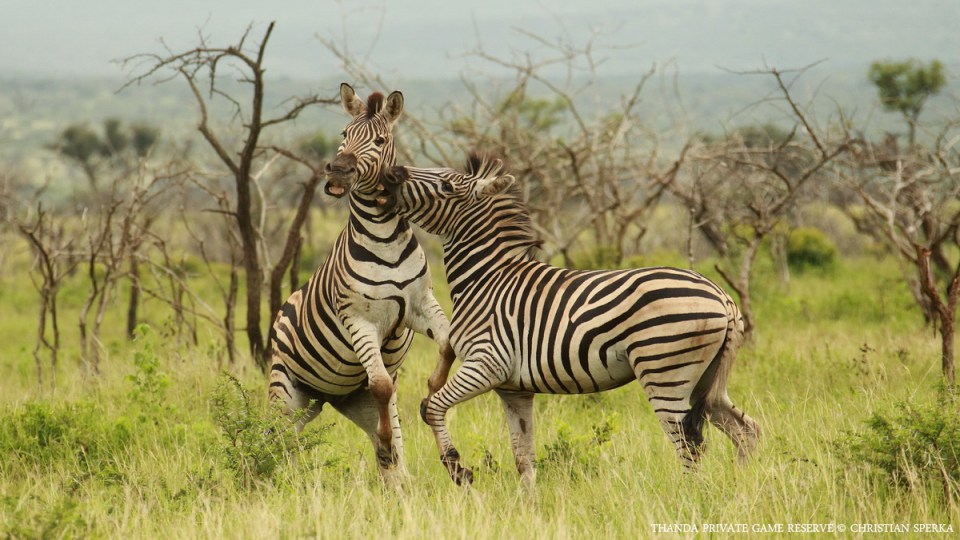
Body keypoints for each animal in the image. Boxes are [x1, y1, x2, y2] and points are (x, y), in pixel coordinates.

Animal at [268, 83, 456, 486]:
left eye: (380, 140)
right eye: (344, 134)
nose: (338, 170)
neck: (384, 238)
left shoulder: (419, 304)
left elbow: (447, 344)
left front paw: (433, 388)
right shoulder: (358, 318)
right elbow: (382, 384)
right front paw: (388, 443)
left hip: (345, 399)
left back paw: (397, 477)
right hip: (287, 391)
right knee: (275, 442)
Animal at [380, 155, 760, 487]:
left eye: (445, 185)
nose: (392, 173)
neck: (485, 279)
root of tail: (722, 296)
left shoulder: (485, 364)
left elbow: (431, 407)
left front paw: (457, 468)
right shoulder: (514, 388)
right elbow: (523, 456)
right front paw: (528, 508)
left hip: (665, 370)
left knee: (690, 444)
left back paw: (687, 497)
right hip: (706, 381)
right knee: (746, 430)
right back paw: (740, 489)